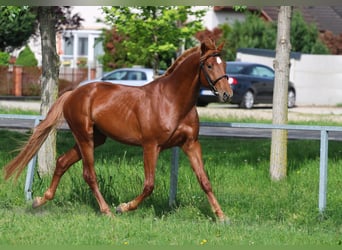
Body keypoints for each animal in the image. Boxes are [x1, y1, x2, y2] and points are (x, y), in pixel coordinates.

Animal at [3, 38, 232, 222]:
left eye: (225, 64)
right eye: (209, 65)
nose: (226, 94)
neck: (172, 101)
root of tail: (73, 93)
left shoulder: (190, 144)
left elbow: (205, 181)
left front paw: (222, 216)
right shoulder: (151, 146)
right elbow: (149, 185)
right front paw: (123, 207)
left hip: (96, 138)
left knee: (62, 162)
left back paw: (40, 200)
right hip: (85, 137)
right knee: (89, 174)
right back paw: (106, 211)